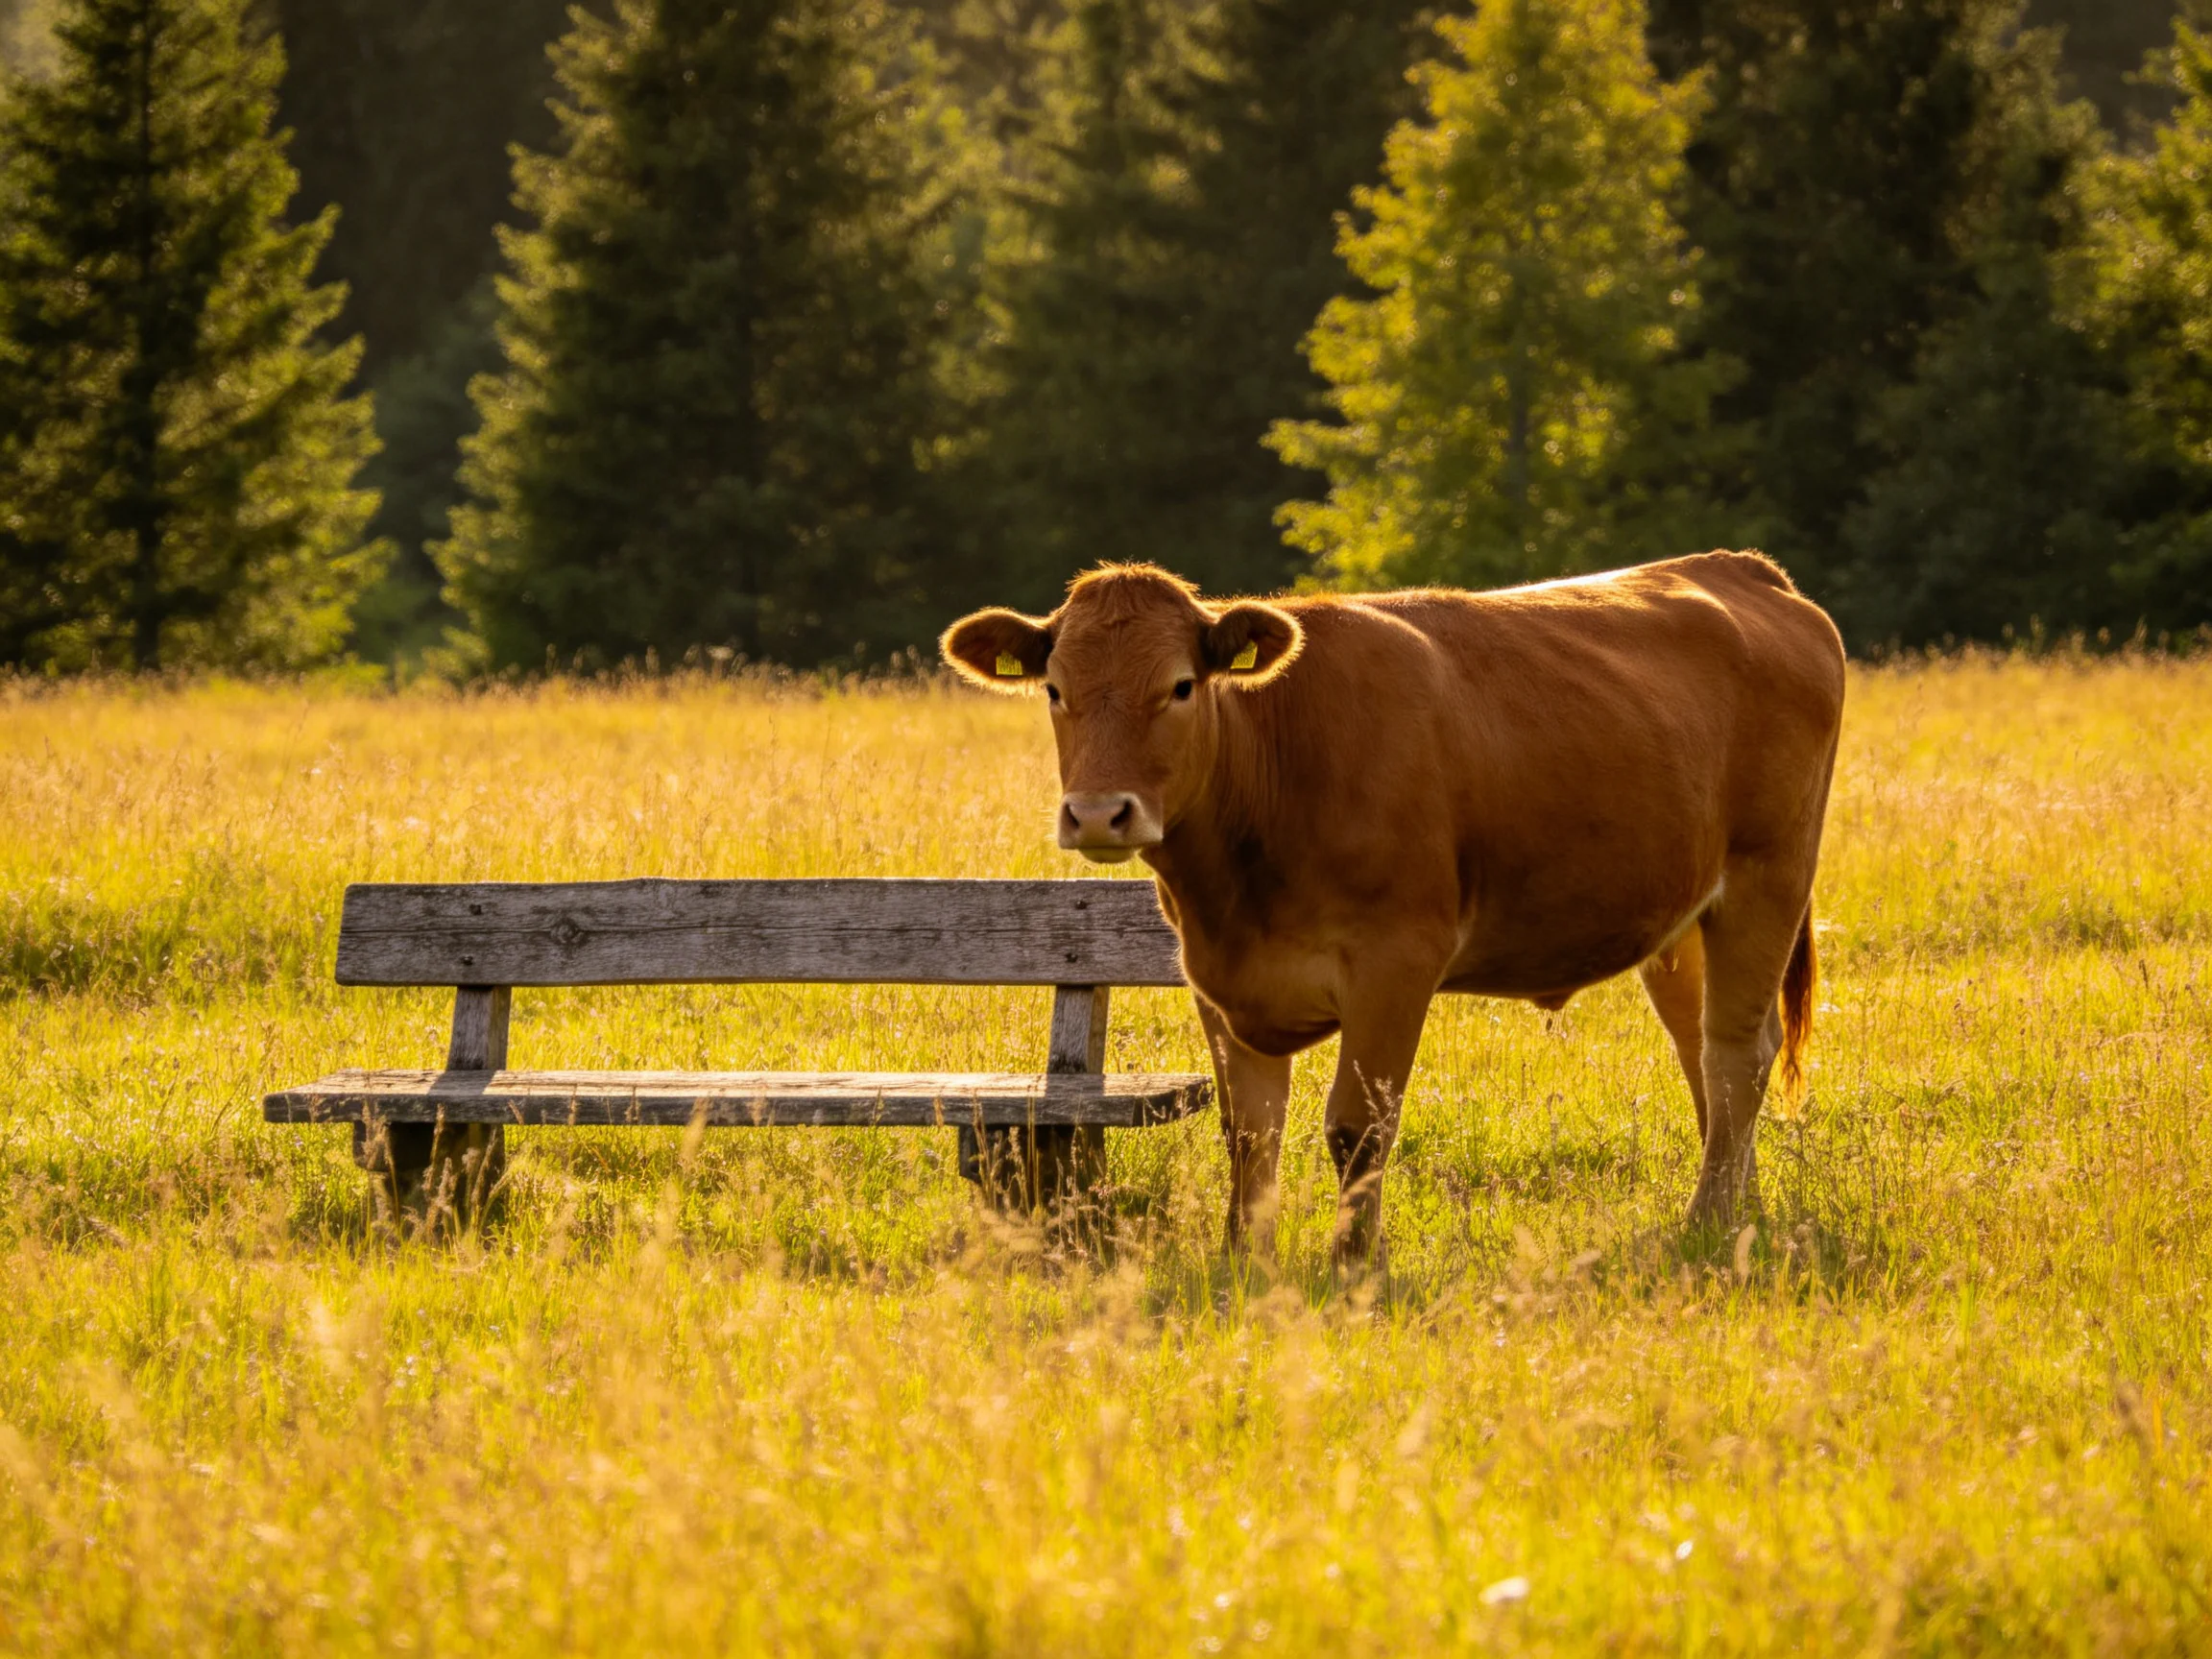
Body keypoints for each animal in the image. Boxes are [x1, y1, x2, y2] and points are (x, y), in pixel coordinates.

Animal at [941, 552, 1846, 1269]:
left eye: (1181, 686)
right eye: (1055, 689)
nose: (1099, 815)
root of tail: (1740, 568)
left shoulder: (1395, 962)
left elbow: (1357, 1127)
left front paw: (1353, 1262)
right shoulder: (1216, 981)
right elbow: (1250, 1129)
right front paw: (1245, 1258)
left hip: (1767, 879)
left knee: (1735, 1054)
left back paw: (1707, 1222)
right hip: (1681, 919)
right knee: (1708, 1055)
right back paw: (1740, 1210)